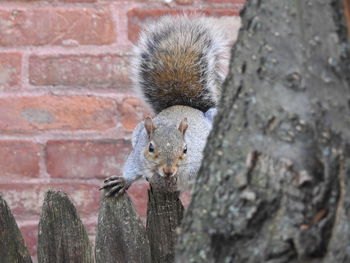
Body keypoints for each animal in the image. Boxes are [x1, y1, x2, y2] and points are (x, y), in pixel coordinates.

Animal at [100, 16, 230, 198]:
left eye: (185, 149)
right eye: (150, 147)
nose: (168, 170)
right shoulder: (138, 154)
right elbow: (131, 168)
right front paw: (122, 181)